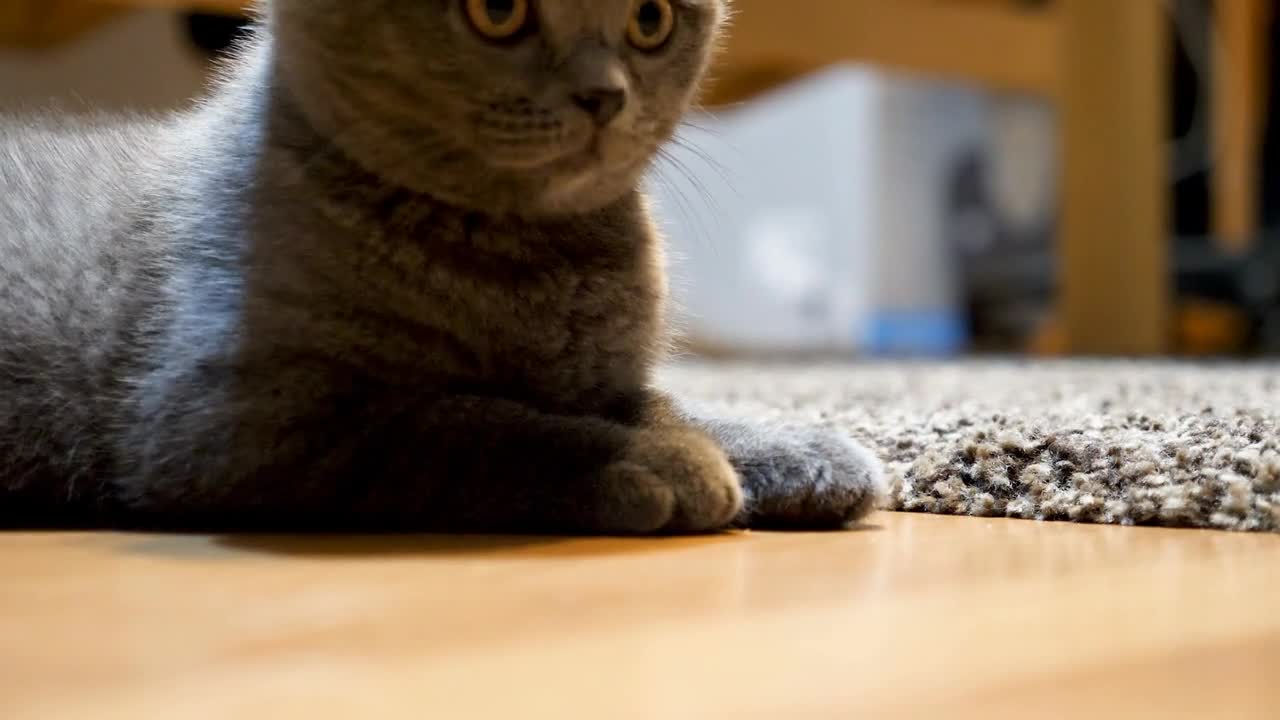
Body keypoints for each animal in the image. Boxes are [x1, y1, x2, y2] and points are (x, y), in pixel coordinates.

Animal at [0, 1, 880, 532]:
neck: (526, 259)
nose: (605, 95)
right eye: (498, 10)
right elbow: (472, 422)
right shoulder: (230, 422)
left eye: (651, 19)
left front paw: (799, 450)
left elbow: (670, 404)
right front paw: (662, 464)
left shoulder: (607, 379)